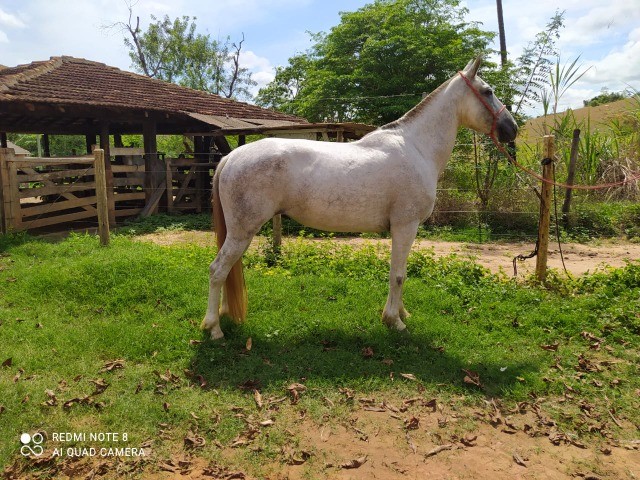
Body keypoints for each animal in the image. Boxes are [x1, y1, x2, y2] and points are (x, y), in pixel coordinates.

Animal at [202, 56, 516, 340]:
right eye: (487, 91)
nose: (512, 128)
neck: (416, 147)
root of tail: (231, 157)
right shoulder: (406, 226)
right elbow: (398, 274)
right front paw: (394, 321)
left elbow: (399, 272)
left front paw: (402, 313)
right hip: (242, 231)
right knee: (217, 270)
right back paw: (214, 328)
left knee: (227, 271)